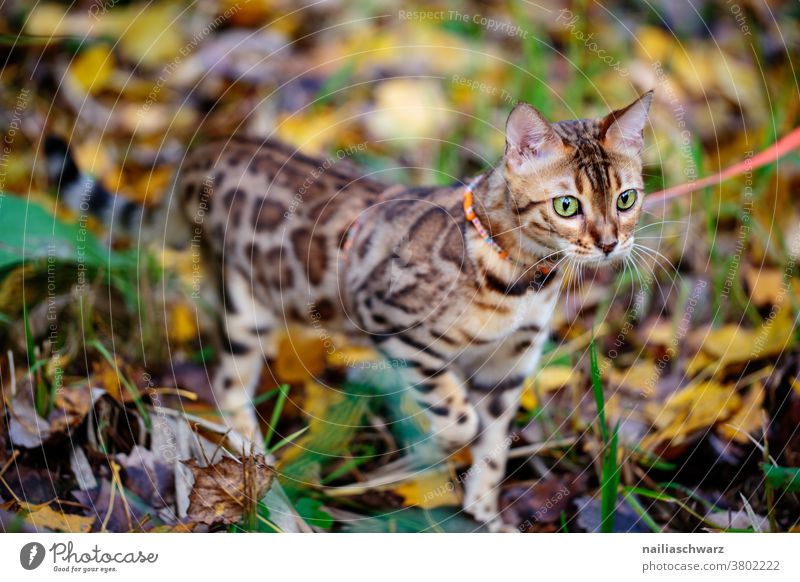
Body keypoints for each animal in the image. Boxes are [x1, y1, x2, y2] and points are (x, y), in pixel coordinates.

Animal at [47, 90, 652, 528]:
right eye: (567, 205)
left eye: (626, 198)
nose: (608, 245)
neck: (522, 279)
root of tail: (202, 152)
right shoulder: (393, 325)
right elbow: (460, 421)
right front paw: (427, 456)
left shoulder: (512, 364)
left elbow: (494, 444)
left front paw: (484, 511)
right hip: (246, 307)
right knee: (226, 382)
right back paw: (252, 459)